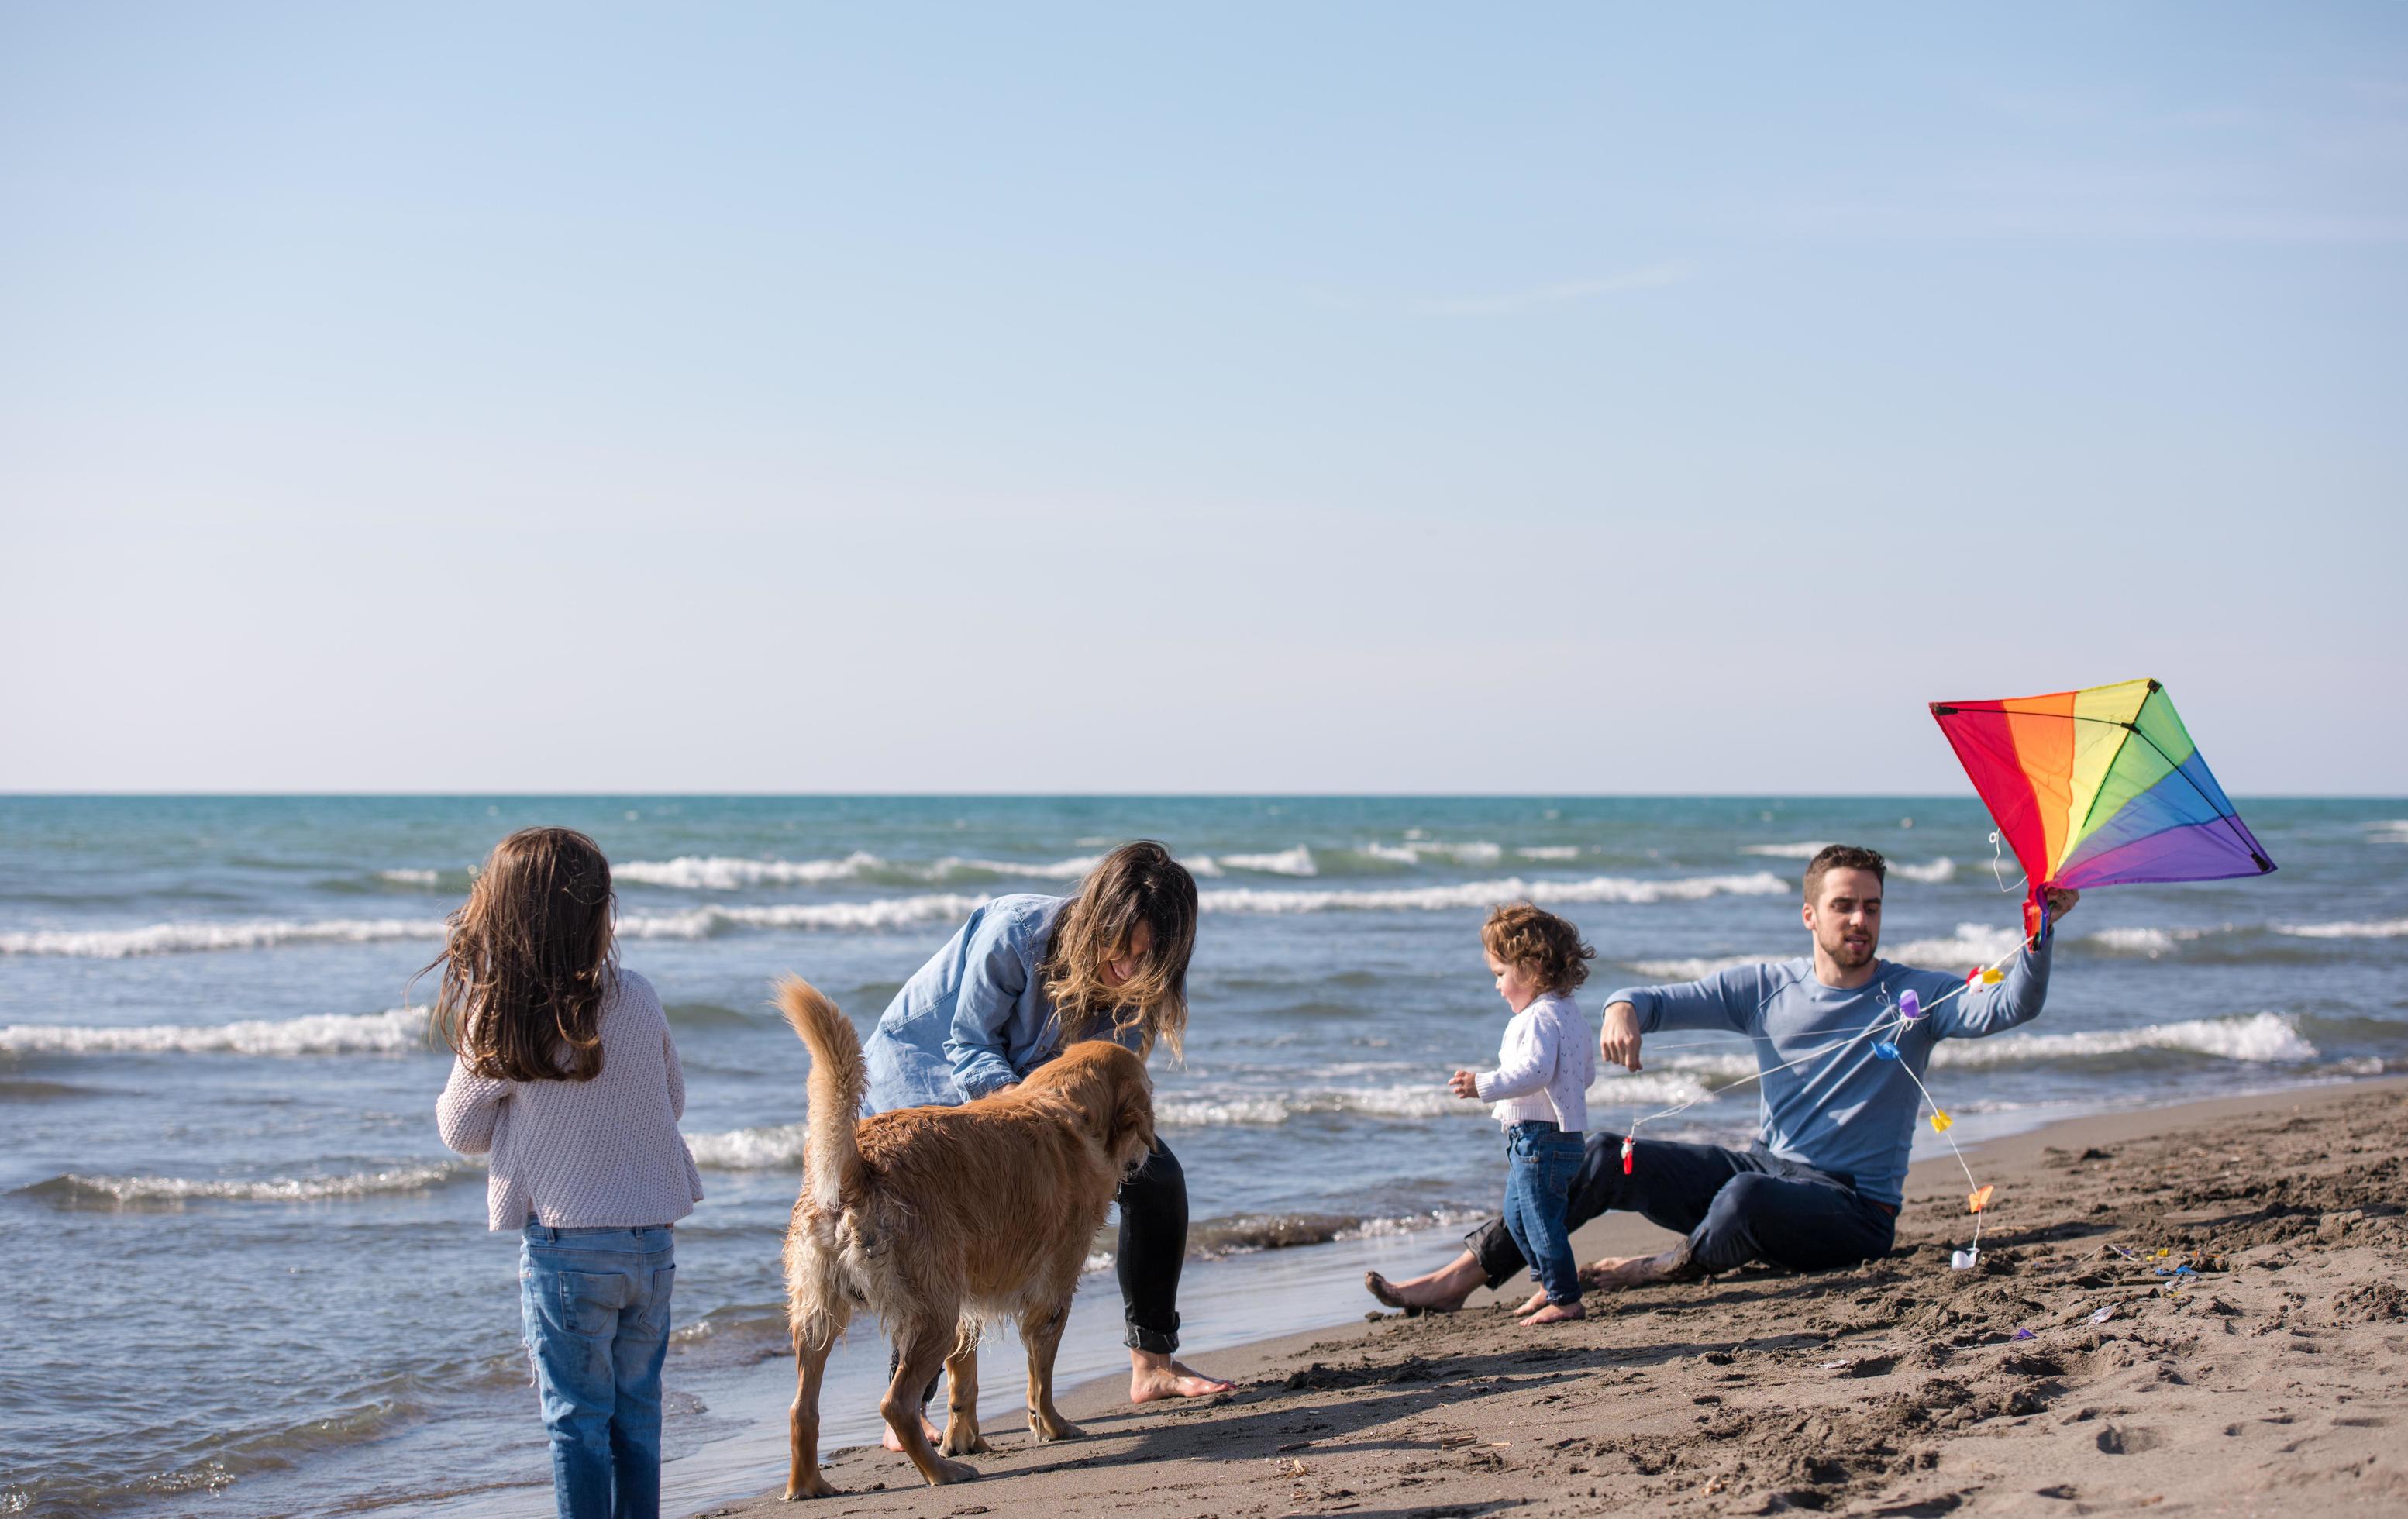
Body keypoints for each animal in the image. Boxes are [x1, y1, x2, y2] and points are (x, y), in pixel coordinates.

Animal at [770, 972, 1145, 1502]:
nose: (1143, 1162)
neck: (1063, 1107)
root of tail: (857, 1167)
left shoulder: (967, 1299)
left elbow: (962, 1380)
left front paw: (965, 1438)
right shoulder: (1051, 1295)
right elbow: (1041, 1376)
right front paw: (1051, 1427)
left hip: (821, 1313)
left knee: (802, 1408)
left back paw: (809, 1485)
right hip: (932, 1313)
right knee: (896, 1404)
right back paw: (940, 1472)